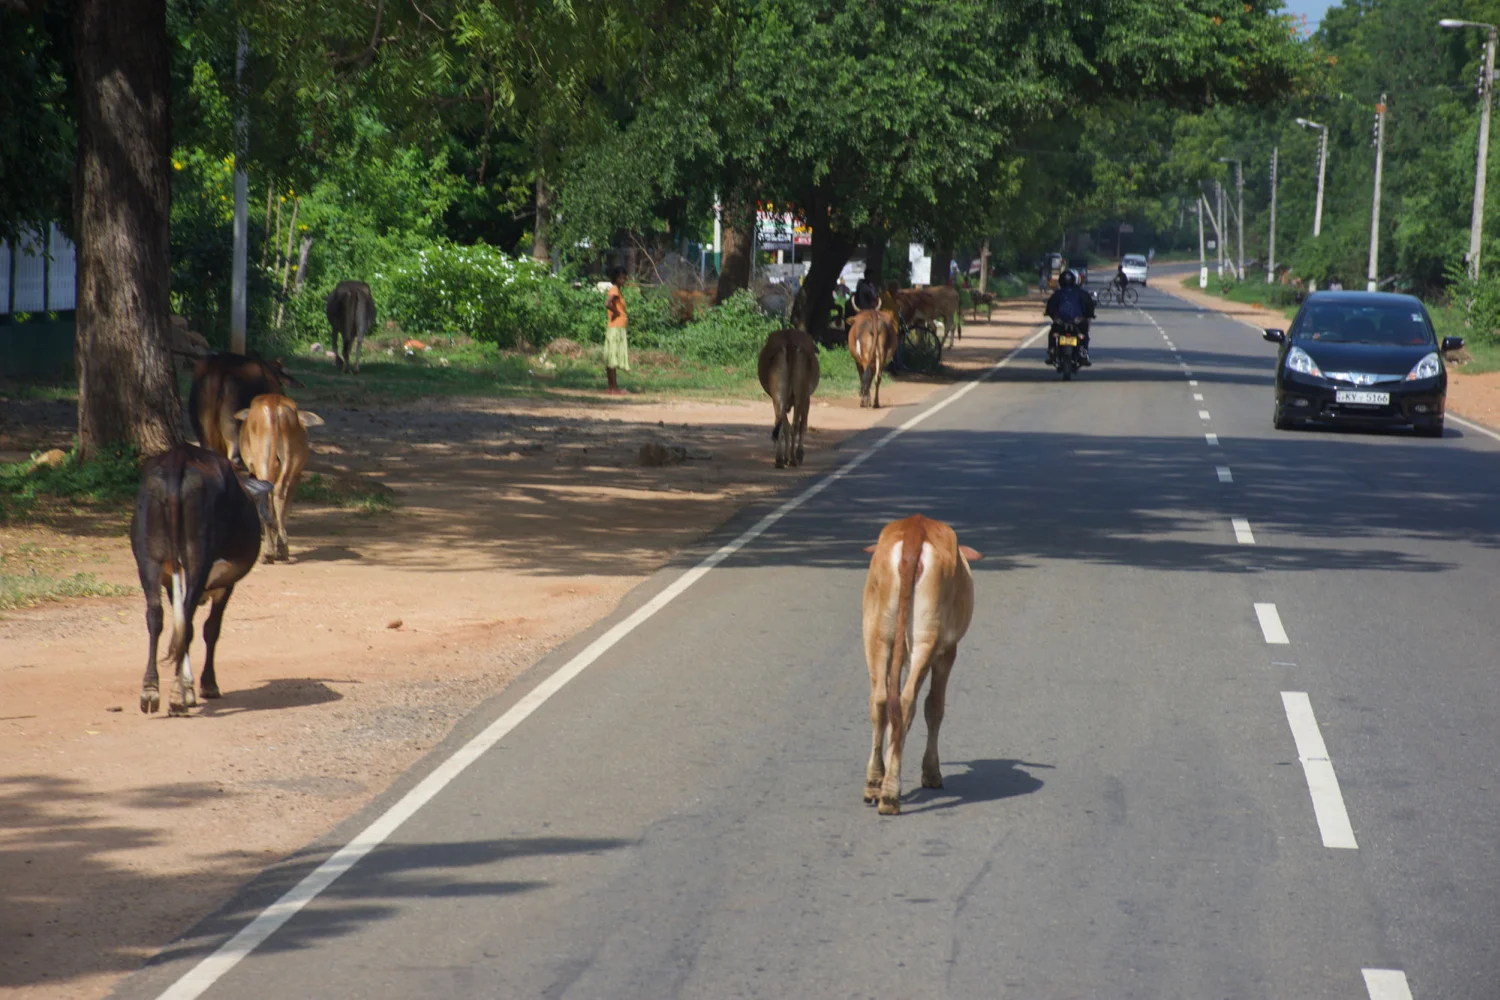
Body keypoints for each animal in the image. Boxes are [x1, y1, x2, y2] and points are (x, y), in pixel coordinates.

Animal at [130, 443, 274, 710]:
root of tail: (180, 456)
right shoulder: (226, 583)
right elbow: (210, 629)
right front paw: (205, 685)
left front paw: (189, 686)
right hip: (198, 558)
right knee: (187, 620)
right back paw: (177, 695)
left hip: (148, 558)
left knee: (156, 615)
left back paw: (150, 690)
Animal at [234, 392, 322, 563]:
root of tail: (273, 405)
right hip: (291, 460)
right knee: (279, 493)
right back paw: (281, 548)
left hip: (263, 460)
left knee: (268, 495)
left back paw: (270, 551)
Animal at [756, 328, 828, 470]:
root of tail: (789, 341)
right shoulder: (807, 398)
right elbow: (803, 424)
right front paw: (799, 453)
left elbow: (785, 425)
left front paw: (785, 457)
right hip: (800, 395)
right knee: (796, 424)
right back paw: (794, 458)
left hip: (778, 395)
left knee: (781, 422)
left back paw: (780, 459)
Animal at [864, 515, 978, 815]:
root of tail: (916, 527)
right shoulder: (948, 652)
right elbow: (934, 707)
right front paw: (931, 773)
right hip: (926, 640)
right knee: (907, 704)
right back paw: (890, 794)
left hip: (877, 633)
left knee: (880, 700)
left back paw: (875, 782)